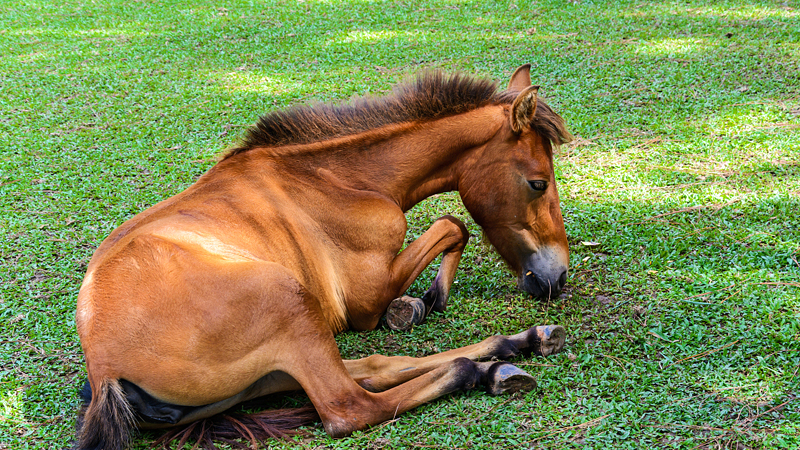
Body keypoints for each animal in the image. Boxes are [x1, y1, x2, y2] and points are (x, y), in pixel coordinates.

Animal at [75, 64, 572, 450]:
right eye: (538, 183)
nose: (557, 277)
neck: (333, 179)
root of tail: (105, 373)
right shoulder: (365, 301)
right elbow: (453, 225)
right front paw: (427, 299)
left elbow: (453, 228)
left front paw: (419, 303)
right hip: (289, 302)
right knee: (352, 405)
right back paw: (483, 368)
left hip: (280, 362)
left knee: (375, 368)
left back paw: (516, 346)